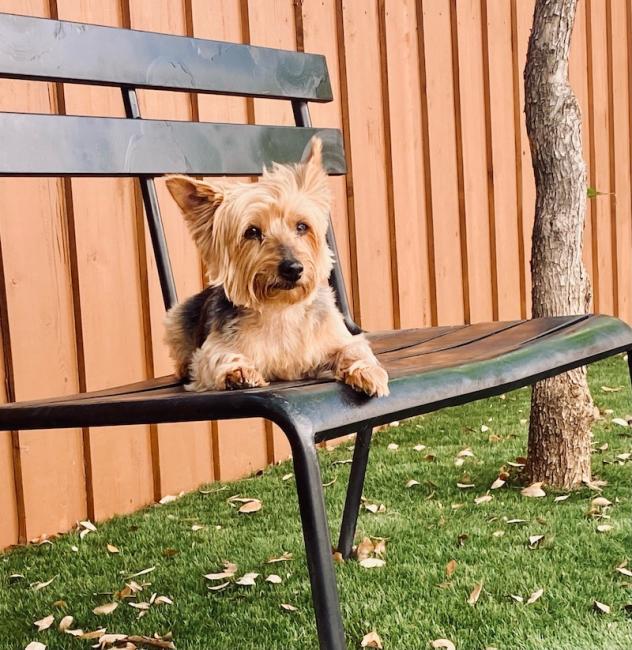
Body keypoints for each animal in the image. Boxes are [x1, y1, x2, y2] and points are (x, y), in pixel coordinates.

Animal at [162, 137, 390, 394]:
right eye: (252, 232)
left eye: (302, 226)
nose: (293, 268)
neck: (281, 308)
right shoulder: (210, 351)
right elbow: (217, 358)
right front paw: (238, 373)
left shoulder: (339, 337)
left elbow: (354, 349)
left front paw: (367, 372)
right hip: (176, 317)